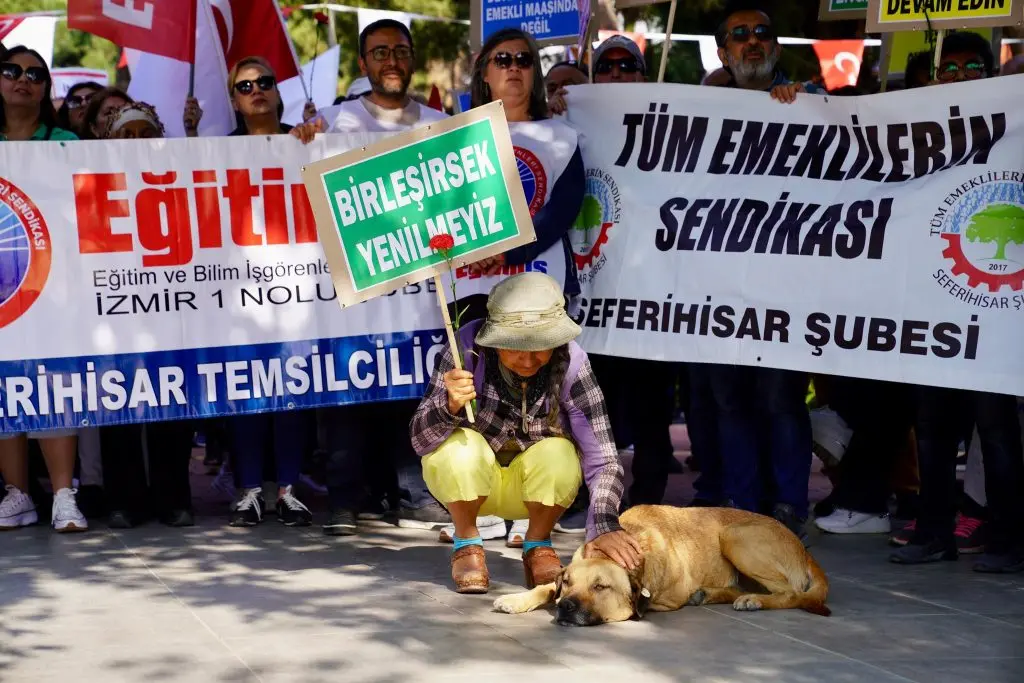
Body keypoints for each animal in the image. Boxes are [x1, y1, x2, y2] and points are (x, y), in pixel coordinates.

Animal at [491, 505, 827, 626]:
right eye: (570, 583)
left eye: (601, 587)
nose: (565, 607)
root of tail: (802, 547)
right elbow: (546, 586)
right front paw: (517, 599)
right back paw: (713, 593)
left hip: (735, 536)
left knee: (792, 593)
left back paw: (753, 599)